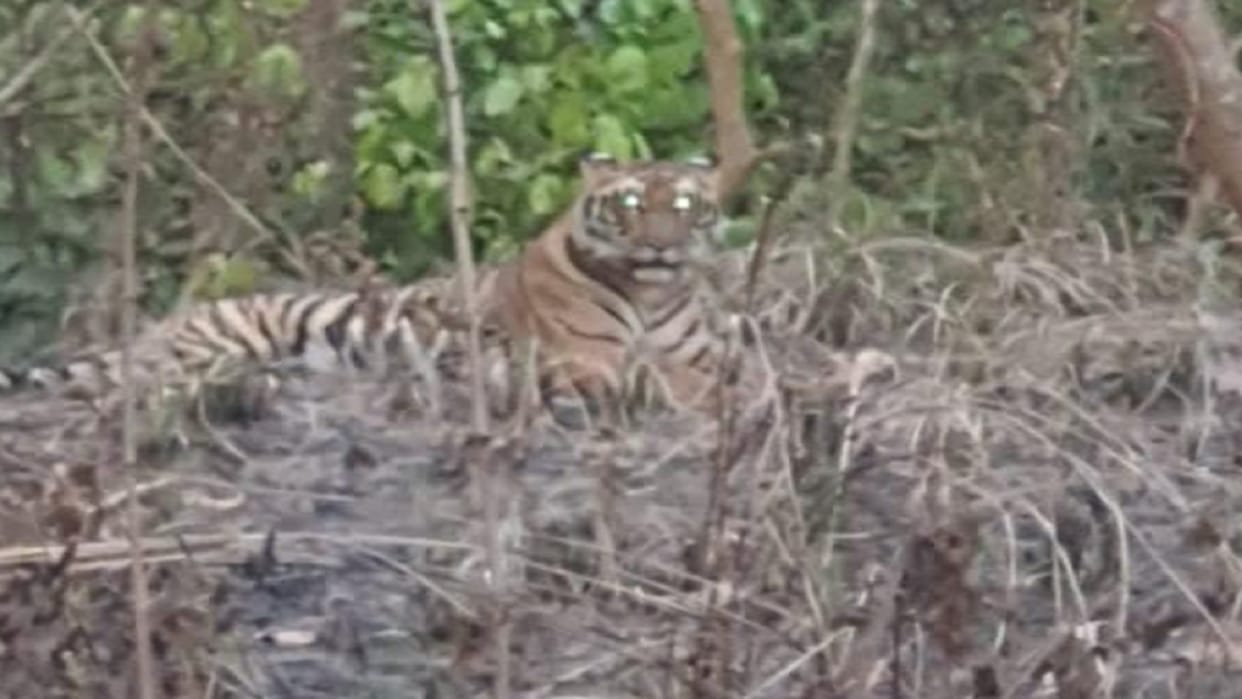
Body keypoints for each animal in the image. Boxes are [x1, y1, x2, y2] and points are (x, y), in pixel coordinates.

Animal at [0, 153, 740, 426]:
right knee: (134, 383)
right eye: (631, 202)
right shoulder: (581, 360)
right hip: (212, 343)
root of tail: (163, 323)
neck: (650, 294)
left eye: (682, 203)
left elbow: (713, 374)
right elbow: (655, 380)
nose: (660, 244)